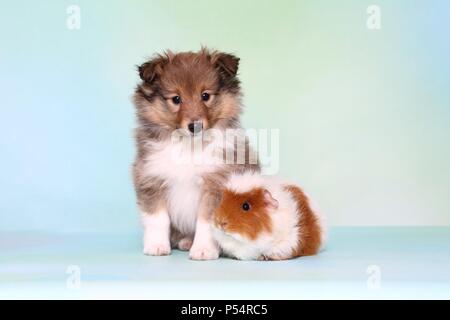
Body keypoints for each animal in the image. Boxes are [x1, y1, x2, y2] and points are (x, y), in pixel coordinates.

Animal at [132, 48, 258, 260]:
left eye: (205, 95)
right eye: (176, 99)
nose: (195, 126)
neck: (188, 146)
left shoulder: (215, 184)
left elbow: (206, 222)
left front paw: (204, 250)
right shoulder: (151, 178)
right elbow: (157, 218)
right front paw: (157, 246)